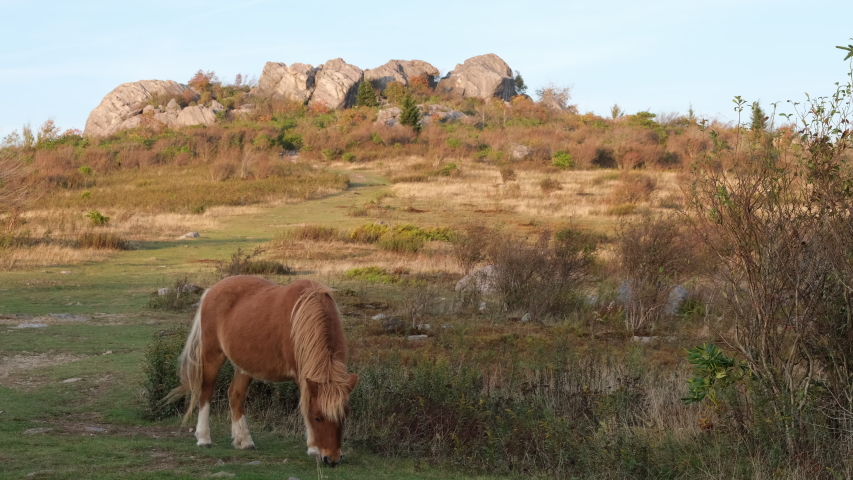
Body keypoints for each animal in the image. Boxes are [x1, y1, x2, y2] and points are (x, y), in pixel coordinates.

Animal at [164, 276, 358, 467]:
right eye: (317, 418)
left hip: (245, 365)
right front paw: (313, 449)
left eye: (345, 416)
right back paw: (204, 438)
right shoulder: (301, 374)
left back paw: (244, 441)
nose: (332, 459)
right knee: (206, 392)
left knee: (235, 395)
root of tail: (212, 290)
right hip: (212, 355)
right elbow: (305, 405)